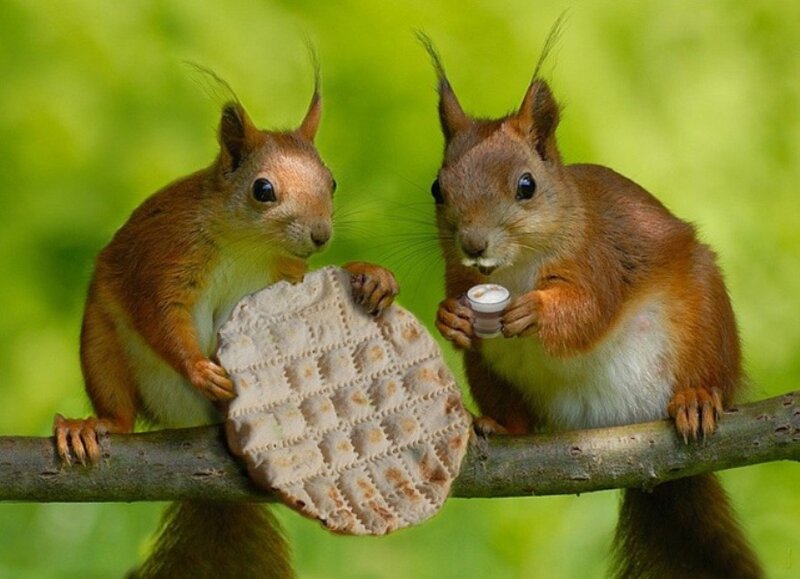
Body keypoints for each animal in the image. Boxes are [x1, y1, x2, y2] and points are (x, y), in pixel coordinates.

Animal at [52, 71, 398, 578]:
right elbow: (162, 316)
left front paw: (370, 274)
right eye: (263, 190)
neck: (246, 245)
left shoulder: (282, 274)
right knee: (118, 408)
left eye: (332, 181)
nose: (320, 235)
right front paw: (199, 369)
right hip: (101, 343)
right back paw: (91, 425)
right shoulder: (165, 257)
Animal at [420, 34, 764, 579]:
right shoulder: (459, 277)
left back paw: (697, 400)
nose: (473, 245)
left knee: (713, 379)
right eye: (437, 188)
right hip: (490, 371)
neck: (515, 271)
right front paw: (450, 317)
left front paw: (536, 312)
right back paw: (498, 424)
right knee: (516, 414)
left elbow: (590, 310)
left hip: (707, 320)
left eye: (526, 185)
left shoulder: (599, 257)